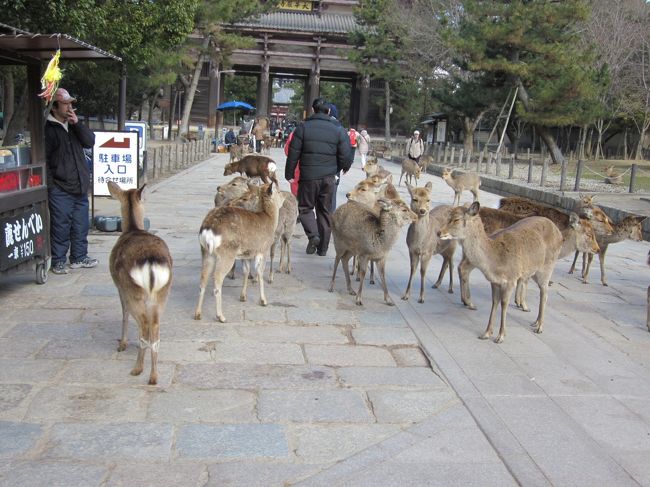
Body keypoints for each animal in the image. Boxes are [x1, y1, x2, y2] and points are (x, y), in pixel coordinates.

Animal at [107, 182, 172, 385]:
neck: (133, 228)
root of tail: (150, 261)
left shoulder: (120, 287)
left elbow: (124, 314)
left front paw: (122, 344)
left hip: (133, 290)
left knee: (143, 324)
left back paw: (138, 369)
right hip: (163, 293)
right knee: (155, 327)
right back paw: (154, 376)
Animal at [194, 183, 284, 323]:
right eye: (278, 191)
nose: (284, 195)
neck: (269, 219)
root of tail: (208, 229)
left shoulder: (246, 254)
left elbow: (247, 271)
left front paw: (243, 297)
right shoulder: (262, 250)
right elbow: (259, 272)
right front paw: (263, 301)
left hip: (206, 252)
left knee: (203, 278)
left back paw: (198, 314)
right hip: (227, 254)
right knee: (217, 278)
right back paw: (221, 316)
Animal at [439, 202, 563, 343]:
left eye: (456, 219)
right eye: (448, 216)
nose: (439, 232)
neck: (495, 260)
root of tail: (559, 233)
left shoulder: (510, 280)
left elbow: (504, 304)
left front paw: (501, 336)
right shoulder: (495, 282)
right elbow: (494, 302)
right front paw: (486, 333)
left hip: (547, 267)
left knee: (545, 292)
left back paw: (539, 327)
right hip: (533, 271)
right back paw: (535, 322)